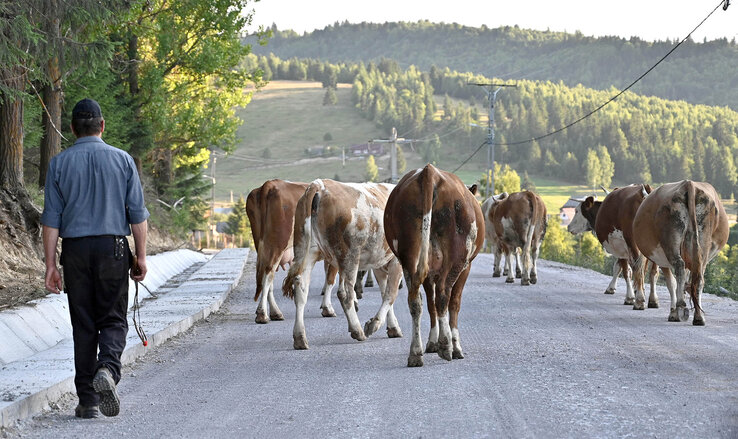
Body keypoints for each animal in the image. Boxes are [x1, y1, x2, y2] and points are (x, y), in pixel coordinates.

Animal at [247, 180, 340, 324]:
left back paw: (274, 312)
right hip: (277, 243)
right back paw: (263, 314)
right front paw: (328, 308)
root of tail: (269, 185)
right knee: (268, 274)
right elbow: (331, 279)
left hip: (262, 246)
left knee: (266, 277)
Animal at [280, 180, 402, 350]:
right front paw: (374, 325)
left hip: (307, 250)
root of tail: (320, 185)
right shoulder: (397, 261)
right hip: (350, 255)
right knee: (345, 293)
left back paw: (300, 338)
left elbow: (385, 292)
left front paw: (393, 327)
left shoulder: (380, 262)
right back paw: (357, 330)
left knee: (300, 288)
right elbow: (391, 294)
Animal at [380, 165, 484, 368]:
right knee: (444, 296)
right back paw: (447, 346)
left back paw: (415, 353)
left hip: (409, 255)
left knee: (415, 301)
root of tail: (430, 172)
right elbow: (454, 303)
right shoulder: (466, 268)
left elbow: (430, 303)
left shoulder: (429, 274)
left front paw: (431, 342)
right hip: (456, 256)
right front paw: (452, 345)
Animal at [628, 180, 728, 326]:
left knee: (679, 267)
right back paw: (699, 317)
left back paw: (680, 307)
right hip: (702, 245)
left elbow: (671, 283)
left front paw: (673, 312)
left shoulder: (662, 260)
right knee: (698, 278)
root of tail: (689, 184)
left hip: (670, 243)